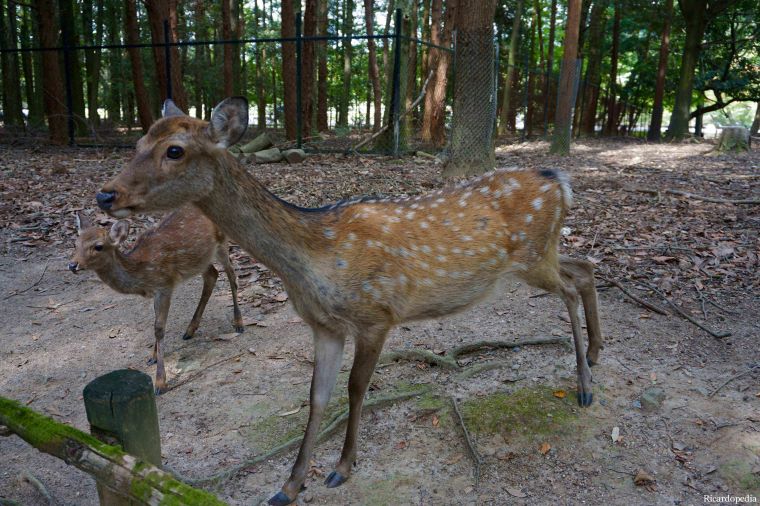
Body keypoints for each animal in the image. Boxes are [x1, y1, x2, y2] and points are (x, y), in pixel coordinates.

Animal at [68, 205, 244, 394]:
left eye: (98, 246)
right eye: (76, 244)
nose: (72, 265)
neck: (142, 274)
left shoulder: (165, 285)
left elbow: (159, 328)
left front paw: (160, 382)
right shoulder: (156, 292)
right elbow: (155, 323)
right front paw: (152, 357)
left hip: (221, 242)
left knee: (231, 274)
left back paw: (239, 323)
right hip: (201, 259)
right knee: (212, 275)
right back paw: (190, 330)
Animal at [95, 97, 603, 505]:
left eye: (175, 150)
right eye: (139, 140)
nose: (105, 194)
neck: (313, 261)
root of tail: (559, 180)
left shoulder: (377, 314)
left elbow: (357, 389)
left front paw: (341, 468)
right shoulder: (324, 326)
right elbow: (317, 397)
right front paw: (289, 485)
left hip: (532, 256)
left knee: (571, 286)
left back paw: (584, 385)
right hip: (540, 255)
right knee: (584, 268)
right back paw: (596, 353)